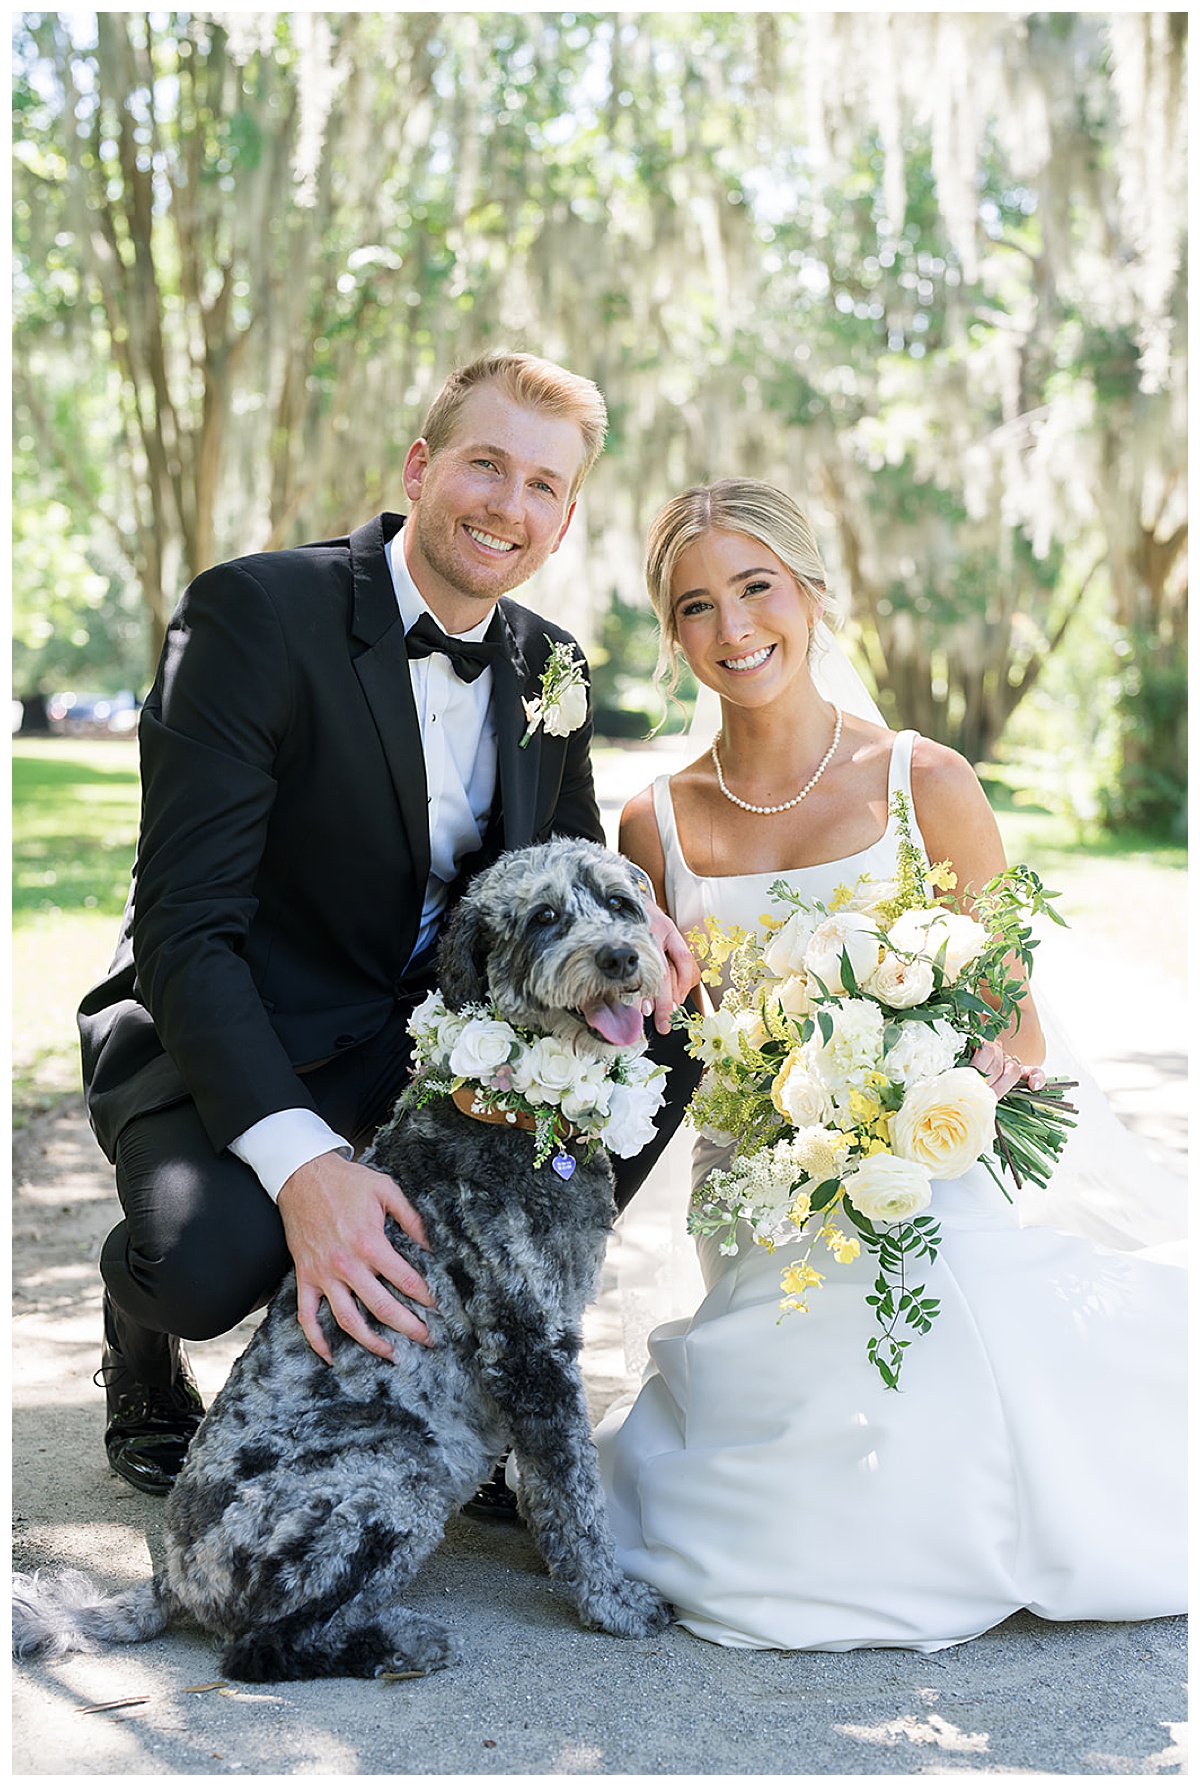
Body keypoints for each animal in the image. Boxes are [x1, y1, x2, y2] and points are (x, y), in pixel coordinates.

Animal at [14, 843, 675, 1679]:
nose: (621, 956)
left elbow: (554, 1480)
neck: (511, 1115)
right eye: (545, 916)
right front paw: (610, 1599)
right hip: (396, 1470)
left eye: (620, 903)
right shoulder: (530, 1345)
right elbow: (575, 1489)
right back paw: (397, 1642)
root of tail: (172, 1575)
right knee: (261, 1649)